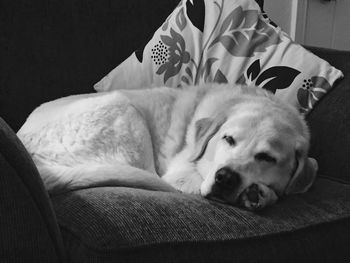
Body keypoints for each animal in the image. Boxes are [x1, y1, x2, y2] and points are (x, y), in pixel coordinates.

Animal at [17, 83, 318, 211]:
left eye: (267, 157)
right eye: (228, 139)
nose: (225, 177)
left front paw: (259, 193)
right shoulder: (181, 175)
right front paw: (262, 195)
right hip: (126, 111)